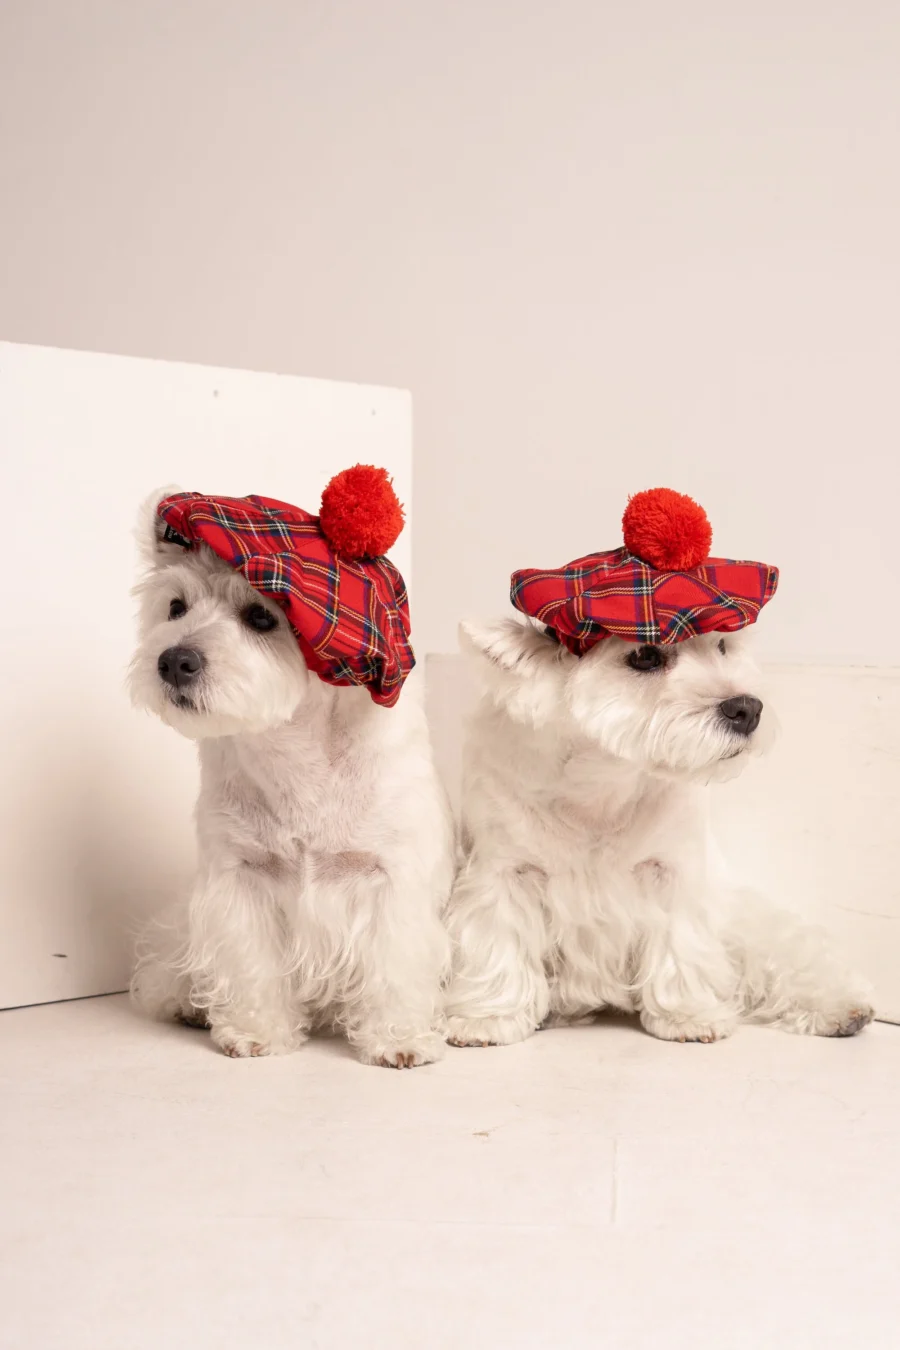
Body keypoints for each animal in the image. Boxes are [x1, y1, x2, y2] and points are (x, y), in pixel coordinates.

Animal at [128, 491, 450, 1069]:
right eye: (175, 607)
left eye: (261, 616)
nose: (173, 660)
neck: (294, 751)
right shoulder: (240, 876)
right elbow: (251, 964)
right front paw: (257, 1032)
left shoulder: (392, 880)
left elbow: (396, 967)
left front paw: (399, 1039)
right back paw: (189, 1004)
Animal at [447, 618, 874, 1047]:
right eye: (645, 655)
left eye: (722, 645)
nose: (748, 708)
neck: (599, 789)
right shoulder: (504, 871)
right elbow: (499, 940)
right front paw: (490, 1018)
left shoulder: (672, 870)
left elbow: (681, 943)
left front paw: (688, 1015)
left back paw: (842, 1009)